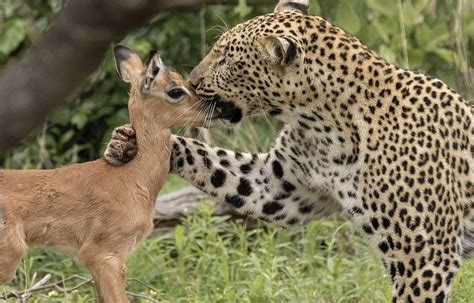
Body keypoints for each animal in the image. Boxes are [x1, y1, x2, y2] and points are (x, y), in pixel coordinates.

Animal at [105, 1, 472, 302]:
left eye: (226, 59)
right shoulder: (280, 186)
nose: (193, 82)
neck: (323, 125)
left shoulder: (423, 257)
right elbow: (214, 163)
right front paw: (127, 142)